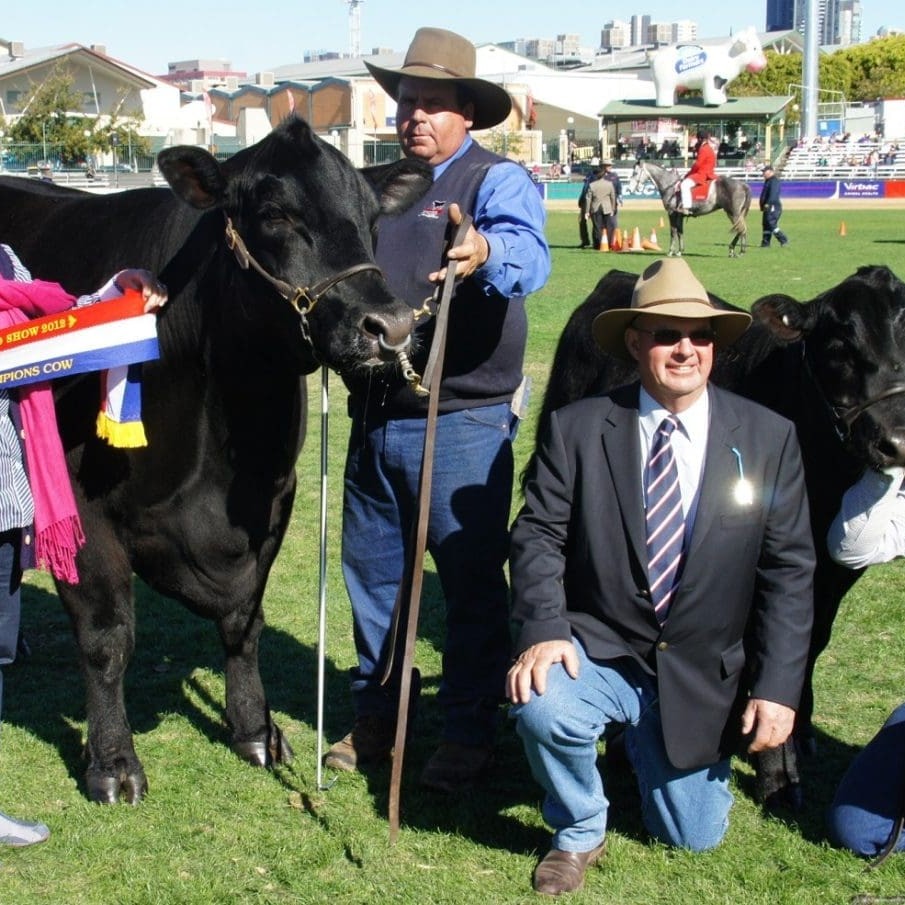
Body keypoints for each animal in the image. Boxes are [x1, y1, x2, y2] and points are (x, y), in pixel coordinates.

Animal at [0, 116, 432, 800]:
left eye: (371, 218)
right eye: (276, 215)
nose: (389, 326)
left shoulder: (273, 501)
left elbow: (244, 621)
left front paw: (257, 731)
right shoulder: (78, 505)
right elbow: (106, 637)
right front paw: (113, 763)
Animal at [528, 264, 904, 800]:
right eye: (838, 343)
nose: (897, 439)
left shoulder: (829, 570)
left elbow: (806, 641)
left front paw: (797, 729)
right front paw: (777, 771)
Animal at [624, 159, 752, 256]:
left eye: (635, 173)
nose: (630, 189)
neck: (670, 186)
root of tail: (743, 184)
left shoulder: (671, 213)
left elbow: (673, 231)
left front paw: (671, 251)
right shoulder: (679, 215)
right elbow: (680, 231)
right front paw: (680, 251)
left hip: (733, 213)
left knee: (741, 229)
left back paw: (735, 250)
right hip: (735, 214)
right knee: (742, 229)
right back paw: (738, 250)